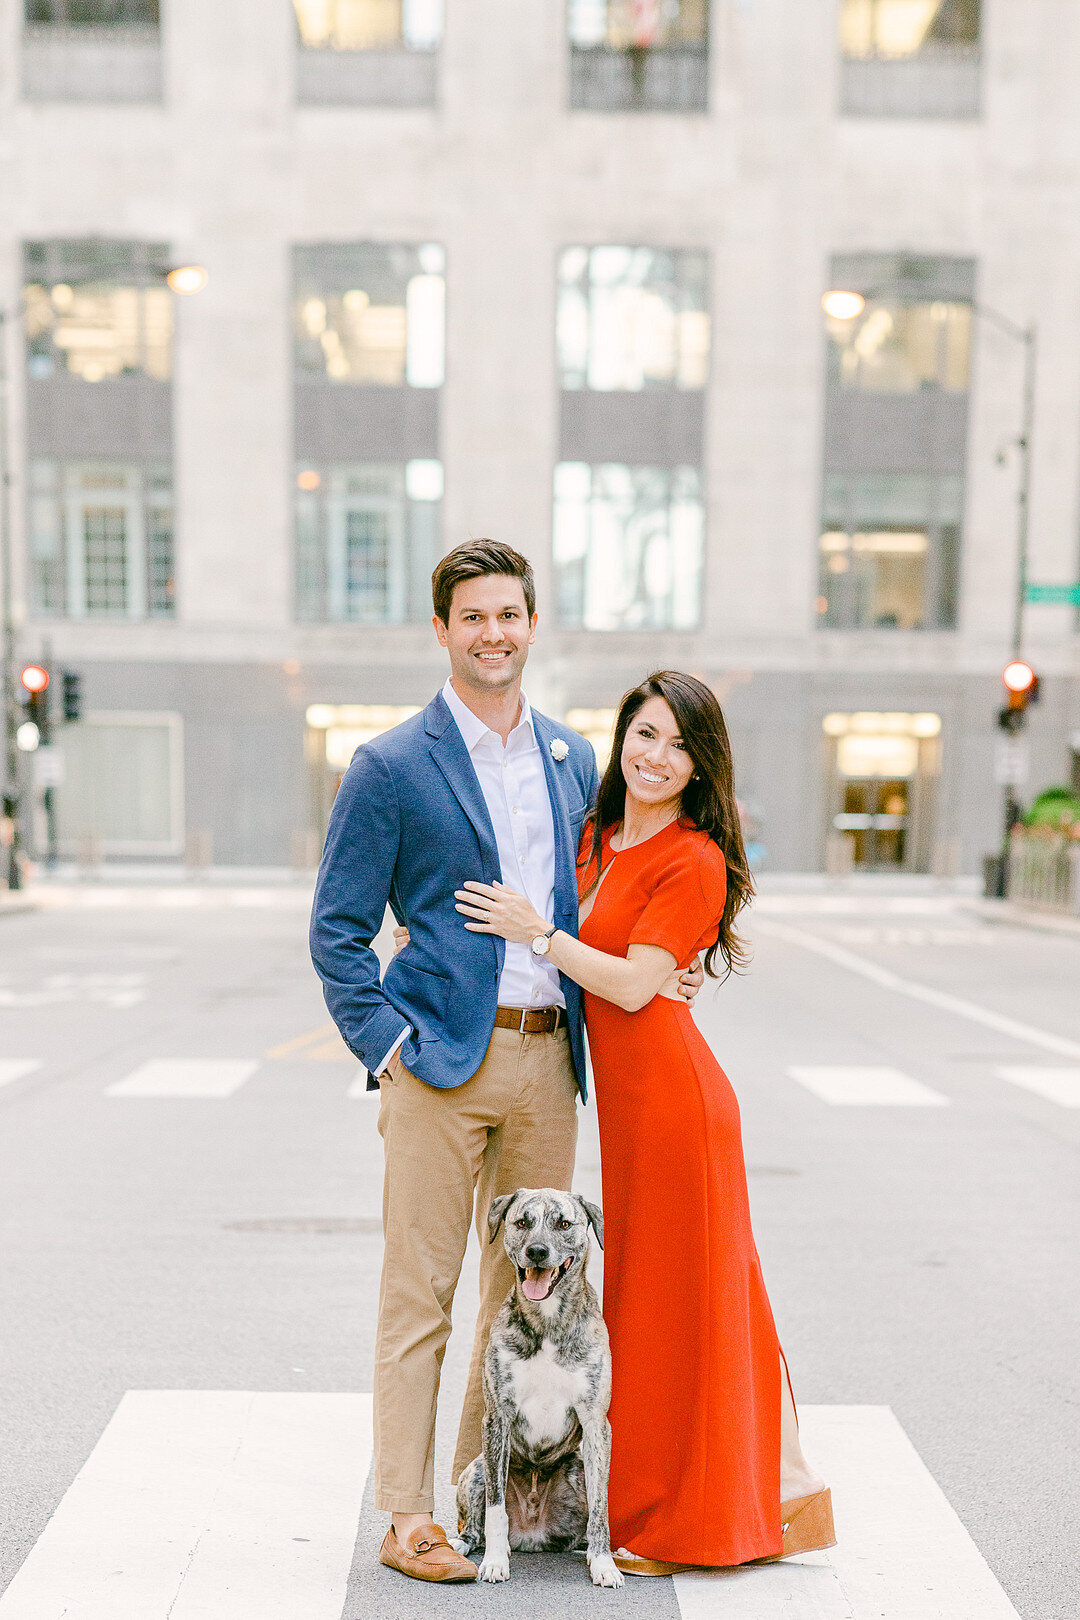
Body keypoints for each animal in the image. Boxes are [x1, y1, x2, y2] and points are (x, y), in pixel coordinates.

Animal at [453, 1185, 625, 1587]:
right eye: (522, 1223)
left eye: (564, 1224)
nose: (537, 1251)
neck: (547, 1320)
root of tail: (532, 1536)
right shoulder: (497, 1418)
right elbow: (496, 1508)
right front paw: (495, 1562)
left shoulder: (596, 1422)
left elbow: (601, 1508)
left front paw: (604, 1564)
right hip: (477, 1468)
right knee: (475, 1525)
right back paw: (462, 1546)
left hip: (578, 1468)